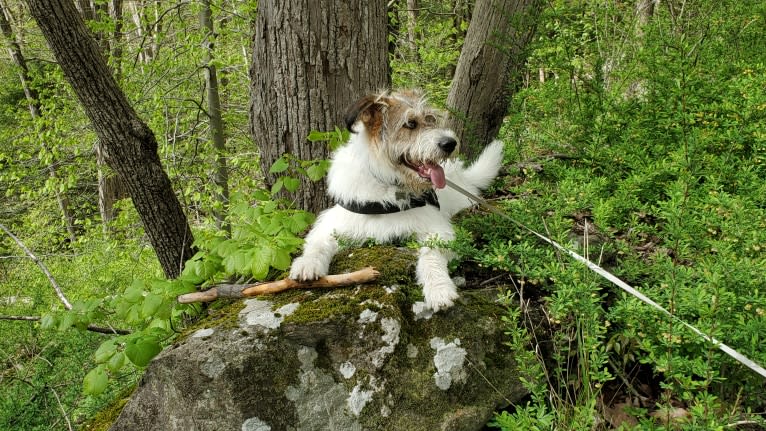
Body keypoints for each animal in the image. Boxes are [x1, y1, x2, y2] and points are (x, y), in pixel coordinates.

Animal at [290, 89, 504, 312]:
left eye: (431, 119)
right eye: (410, 124)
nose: (450, 143)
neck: (388, 186)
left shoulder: (439, 229)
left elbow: (431, 253)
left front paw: (439, 288)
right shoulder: (333, 222)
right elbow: (317, 242)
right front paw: (307, 263)